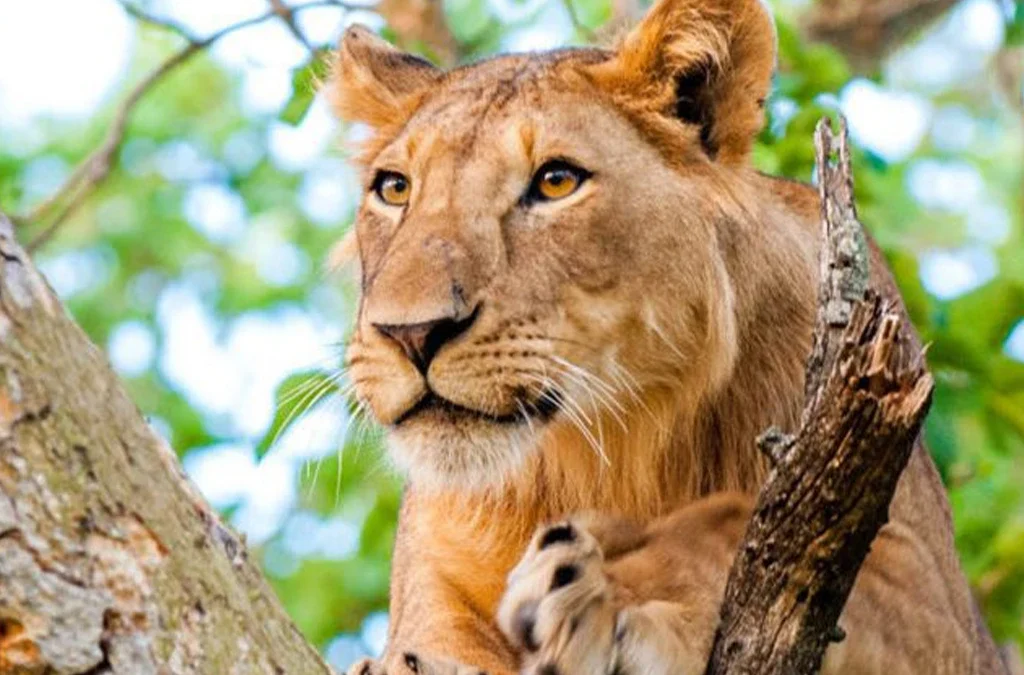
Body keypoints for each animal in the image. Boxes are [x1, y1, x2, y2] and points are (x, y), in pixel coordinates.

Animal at [325, 0, 1006, 672]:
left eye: (556, 181)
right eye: (394, 188)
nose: (411, 333)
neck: (607, 448)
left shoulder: (939, 604)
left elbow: (729, 526)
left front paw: (601, 593)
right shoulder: (429, 592)